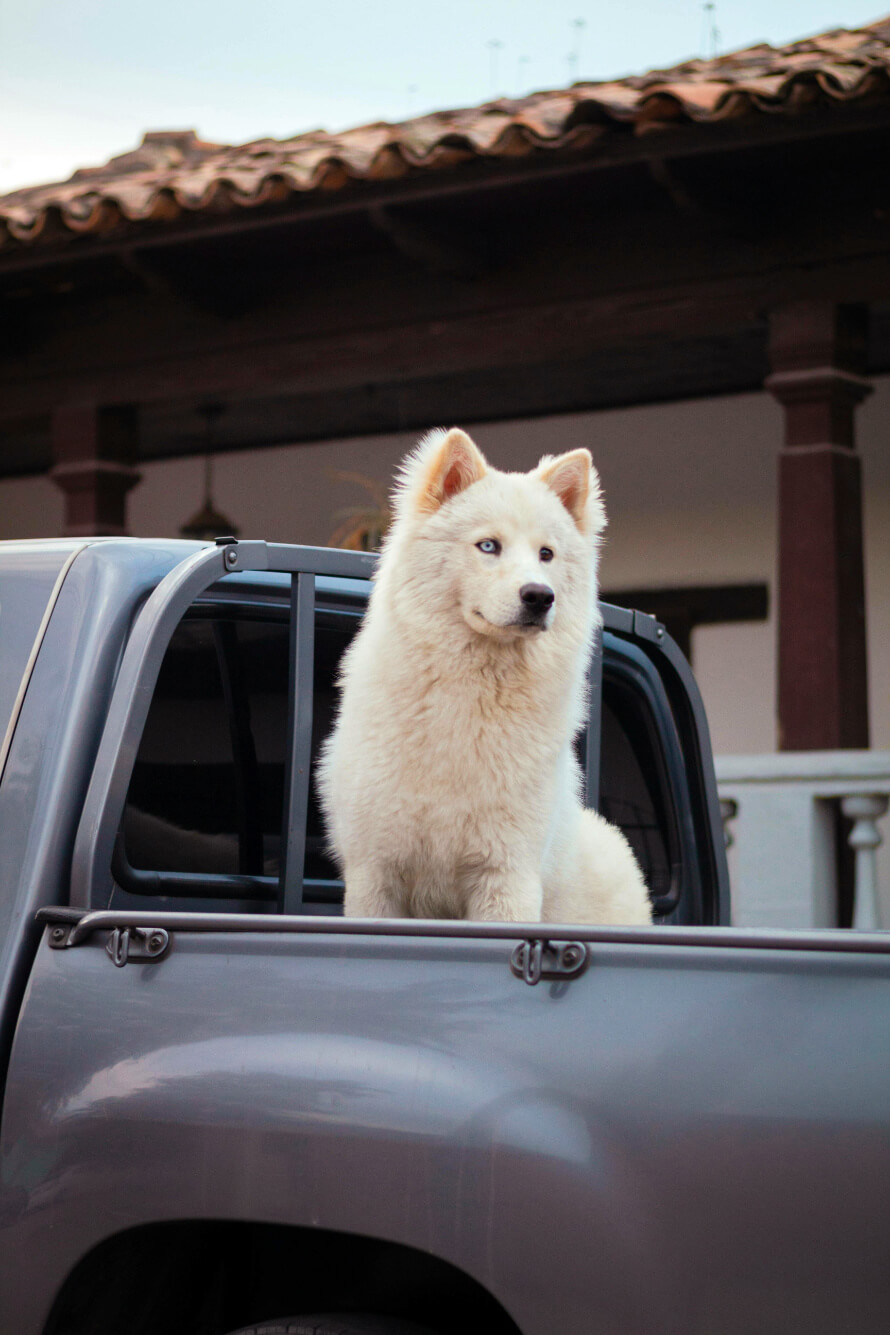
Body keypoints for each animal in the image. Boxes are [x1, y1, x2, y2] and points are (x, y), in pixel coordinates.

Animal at [316, 429, 651, 929]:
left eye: (546, 554)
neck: (469, 697)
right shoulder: (376, 873)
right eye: (489, 546)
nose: (539, 596)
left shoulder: (505, 875)